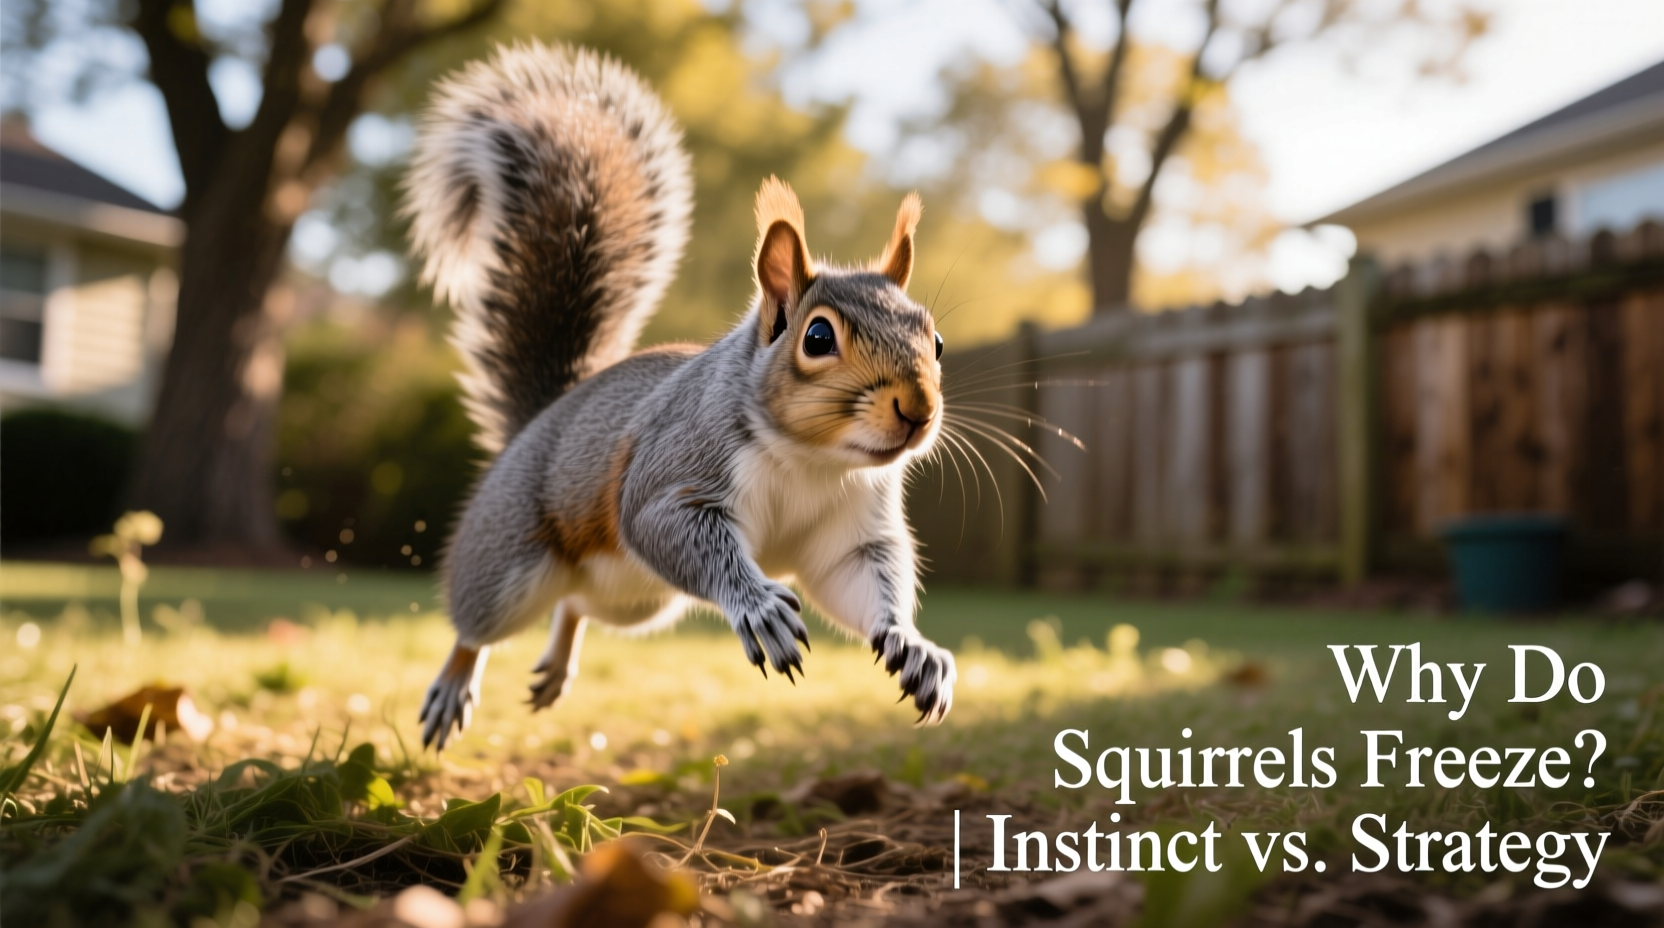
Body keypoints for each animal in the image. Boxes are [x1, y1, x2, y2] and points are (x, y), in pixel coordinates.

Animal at [404, 42, 955, 750]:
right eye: (817, 336)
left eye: (934, 341)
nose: (919, 410)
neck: (812, 461)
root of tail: (540, 420)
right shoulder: (677, 467)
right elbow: (667, 525)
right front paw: (759, 607)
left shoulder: (851, 531)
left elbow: (860, 581)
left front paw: (914, 646)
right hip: (508, 560)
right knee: (477, 626)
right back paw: (453, 683)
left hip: (636, 598)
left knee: (576, 604)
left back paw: (556, 664)